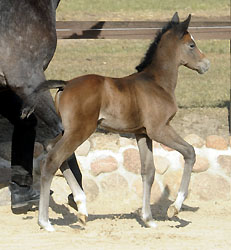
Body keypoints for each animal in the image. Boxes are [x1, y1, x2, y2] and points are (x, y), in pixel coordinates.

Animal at [38, 12, 209, 231]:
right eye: (191, 45)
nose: (206, 65)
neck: (157, 83)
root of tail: (65, 84)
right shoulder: (159, 129)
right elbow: (190, 152)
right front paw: (174, 209)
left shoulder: (142, 133)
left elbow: (149, 171)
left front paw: (148, 218)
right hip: (80, 131)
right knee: (53, 159)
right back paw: (46, 222)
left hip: (67, 130)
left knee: (52, 149)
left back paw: (82, 208)